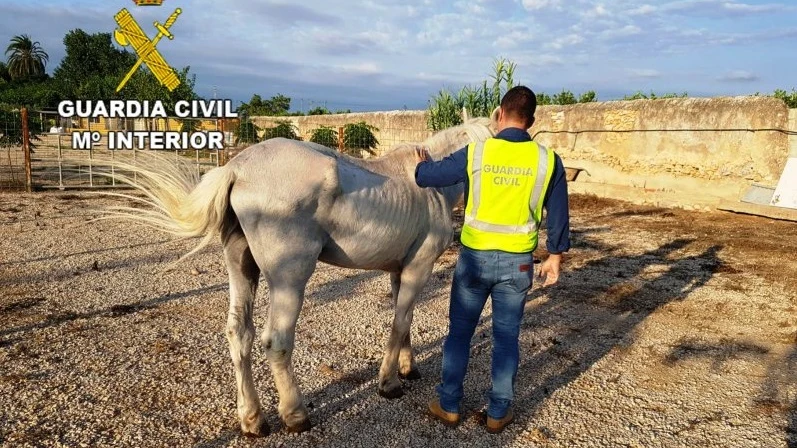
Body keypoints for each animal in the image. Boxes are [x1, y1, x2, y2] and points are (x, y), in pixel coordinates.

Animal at [101, 119, 492, 438]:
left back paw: (253, 419)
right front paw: (390, 383)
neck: (430, 186)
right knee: (276, 342)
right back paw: (295, 415)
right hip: (289, 281)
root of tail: (237, 168)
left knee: (239, 333)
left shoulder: (399, 271)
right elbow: (399, 324)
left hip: (241, 269)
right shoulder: (417, 269)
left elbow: (404, 321)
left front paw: (407, 369)